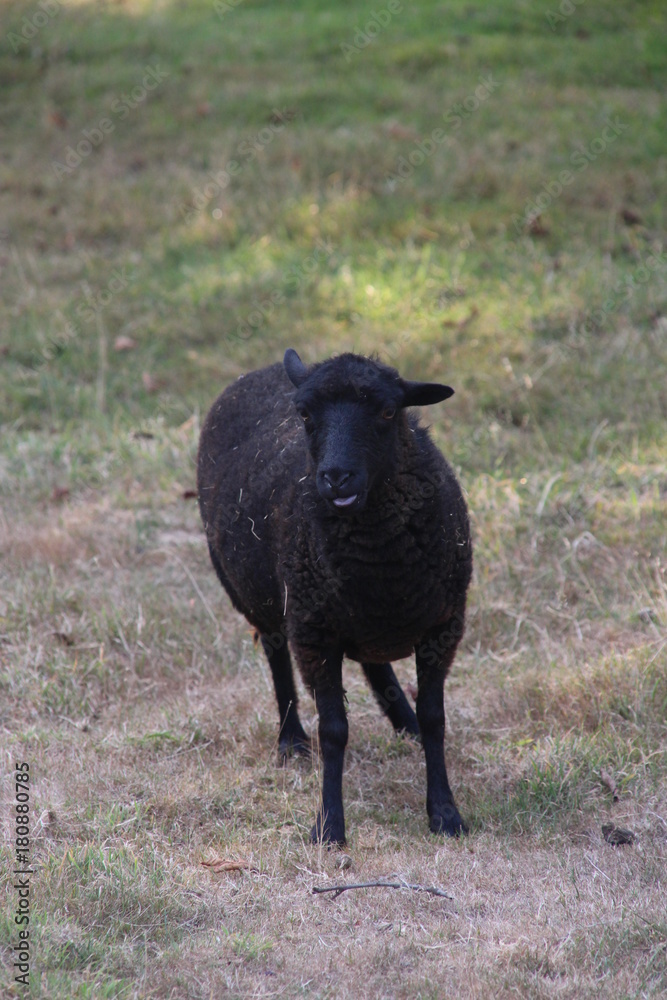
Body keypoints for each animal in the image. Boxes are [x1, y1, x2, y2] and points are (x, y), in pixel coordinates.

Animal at [197, 349, 473, 845]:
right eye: (305, 415)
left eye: (388, 412)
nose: (336, 477)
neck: (380, 564)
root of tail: (264, 369)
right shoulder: (314, 633)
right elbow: (334, 731)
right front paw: (329, 825)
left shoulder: (443, 627)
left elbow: (435, 718)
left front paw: (444, 813)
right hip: (260, 598)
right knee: (276, 656)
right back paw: (291, 739)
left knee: (375, 663)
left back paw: (403, 723)